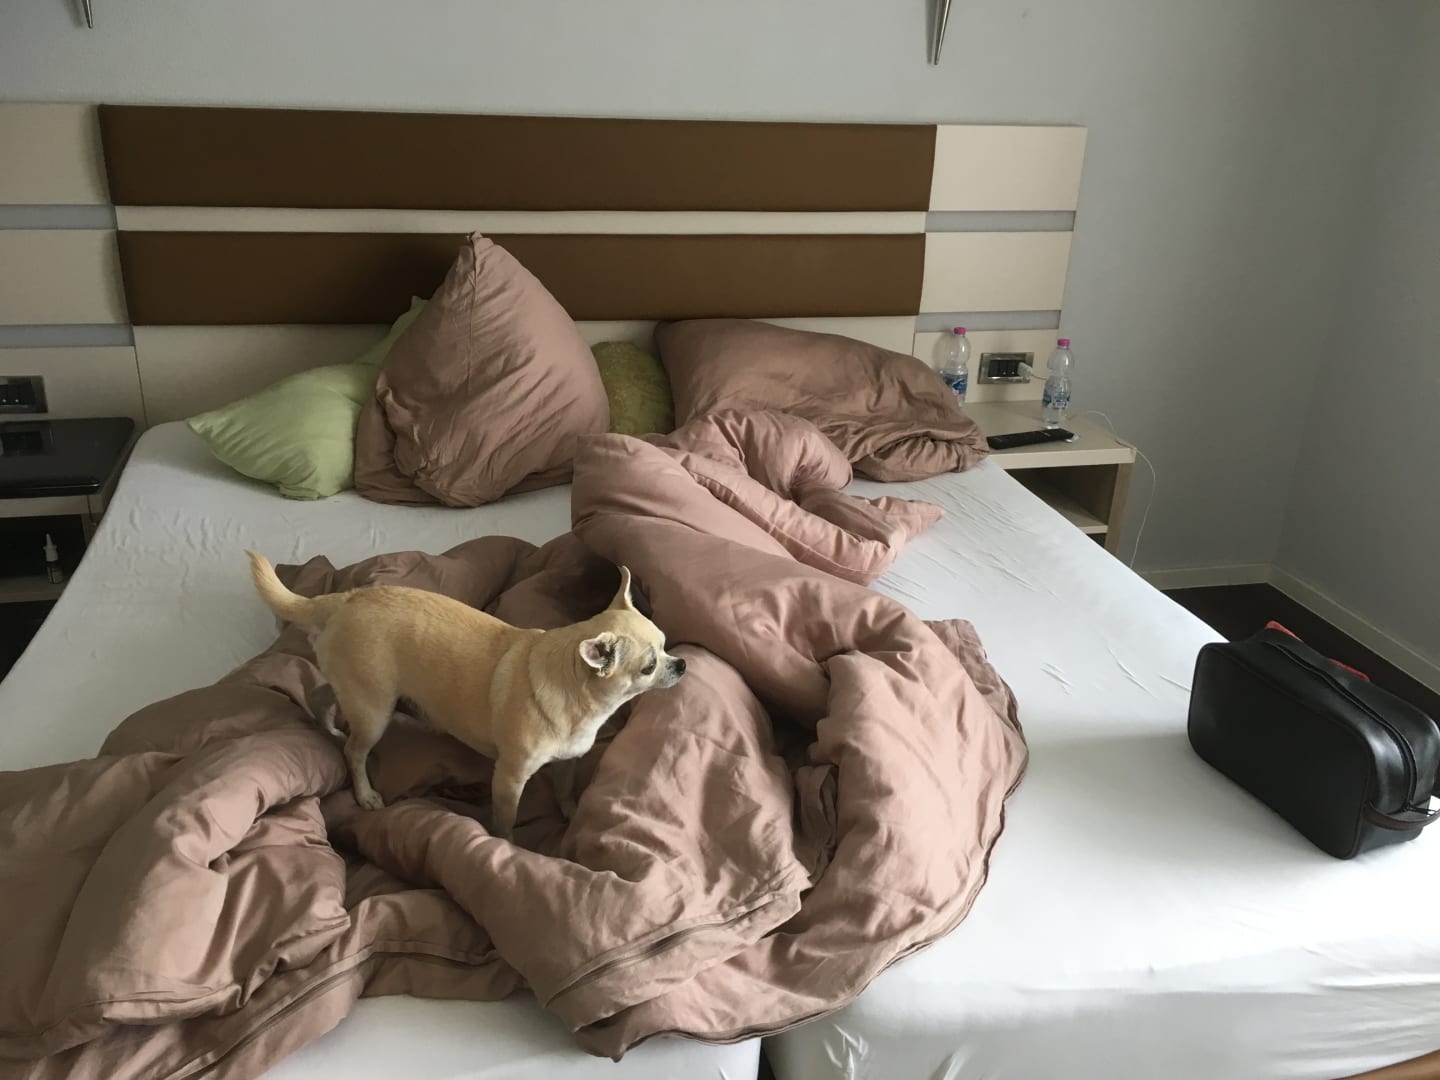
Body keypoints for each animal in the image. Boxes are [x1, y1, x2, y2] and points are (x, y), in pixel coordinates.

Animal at [246, 552, 685, 839]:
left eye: (667, 644)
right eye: (649, 667)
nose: (680, 664)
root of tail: (347, 597)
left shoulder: (566, 763)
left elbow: (563, 789)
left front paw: (572, 813)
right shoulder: (509, 778)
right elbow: (505, 820)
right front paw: (508, 847)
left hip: (359, 691)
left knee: (320, 694)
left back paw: (329, 727)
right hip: (376, 711)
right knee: (355, 753)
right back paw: (365, 793)